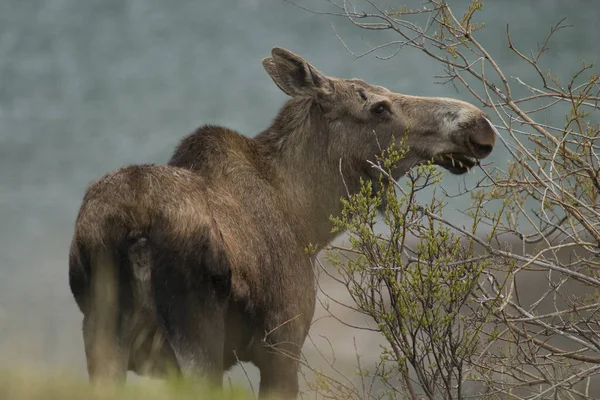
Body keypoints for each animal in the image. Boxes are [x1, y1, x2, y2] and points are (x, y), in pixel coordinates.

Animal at [68, 48, 496, 398]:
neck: (308, 220)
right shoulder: (283, 343)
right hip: (196, 340)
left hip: (101, 339)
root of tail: (135, 229)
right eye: (378, 107)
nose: (479, 125)